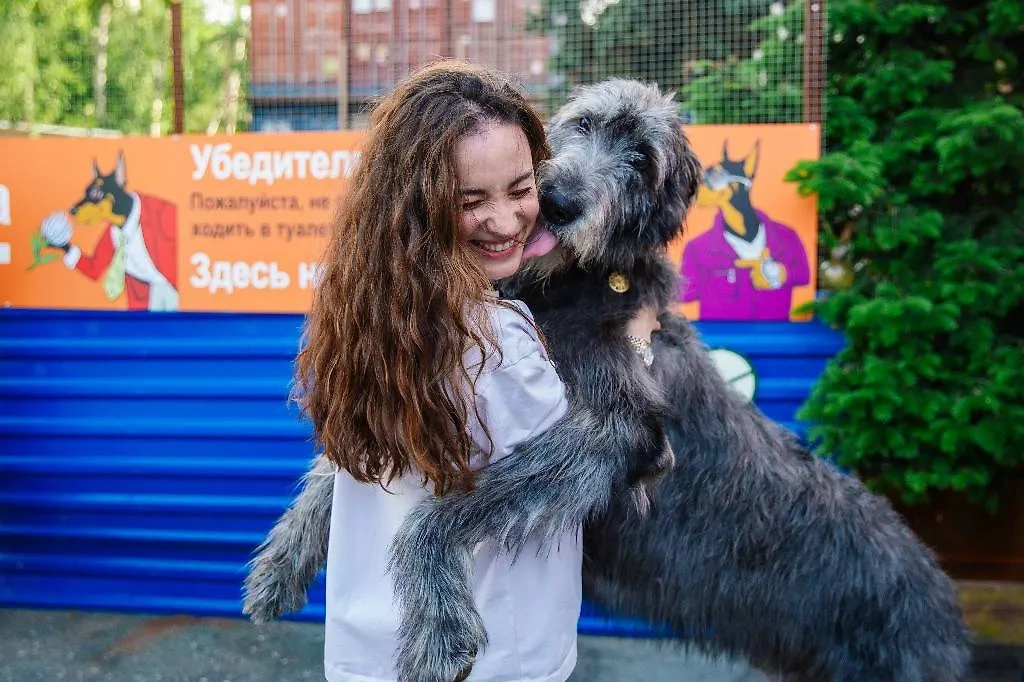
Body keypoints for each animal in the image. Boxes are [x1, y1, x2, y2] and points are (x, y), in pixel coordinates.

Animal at [243, 79, 970, 679]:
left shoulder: (625, 427)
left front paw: (438, 619)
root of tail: (943, 602)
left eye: (642, 161)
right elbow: (341, 464)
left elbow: (447, 509)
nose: (557, 199)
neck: (575, 280)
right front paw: (283, 555)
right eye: (584, 124)